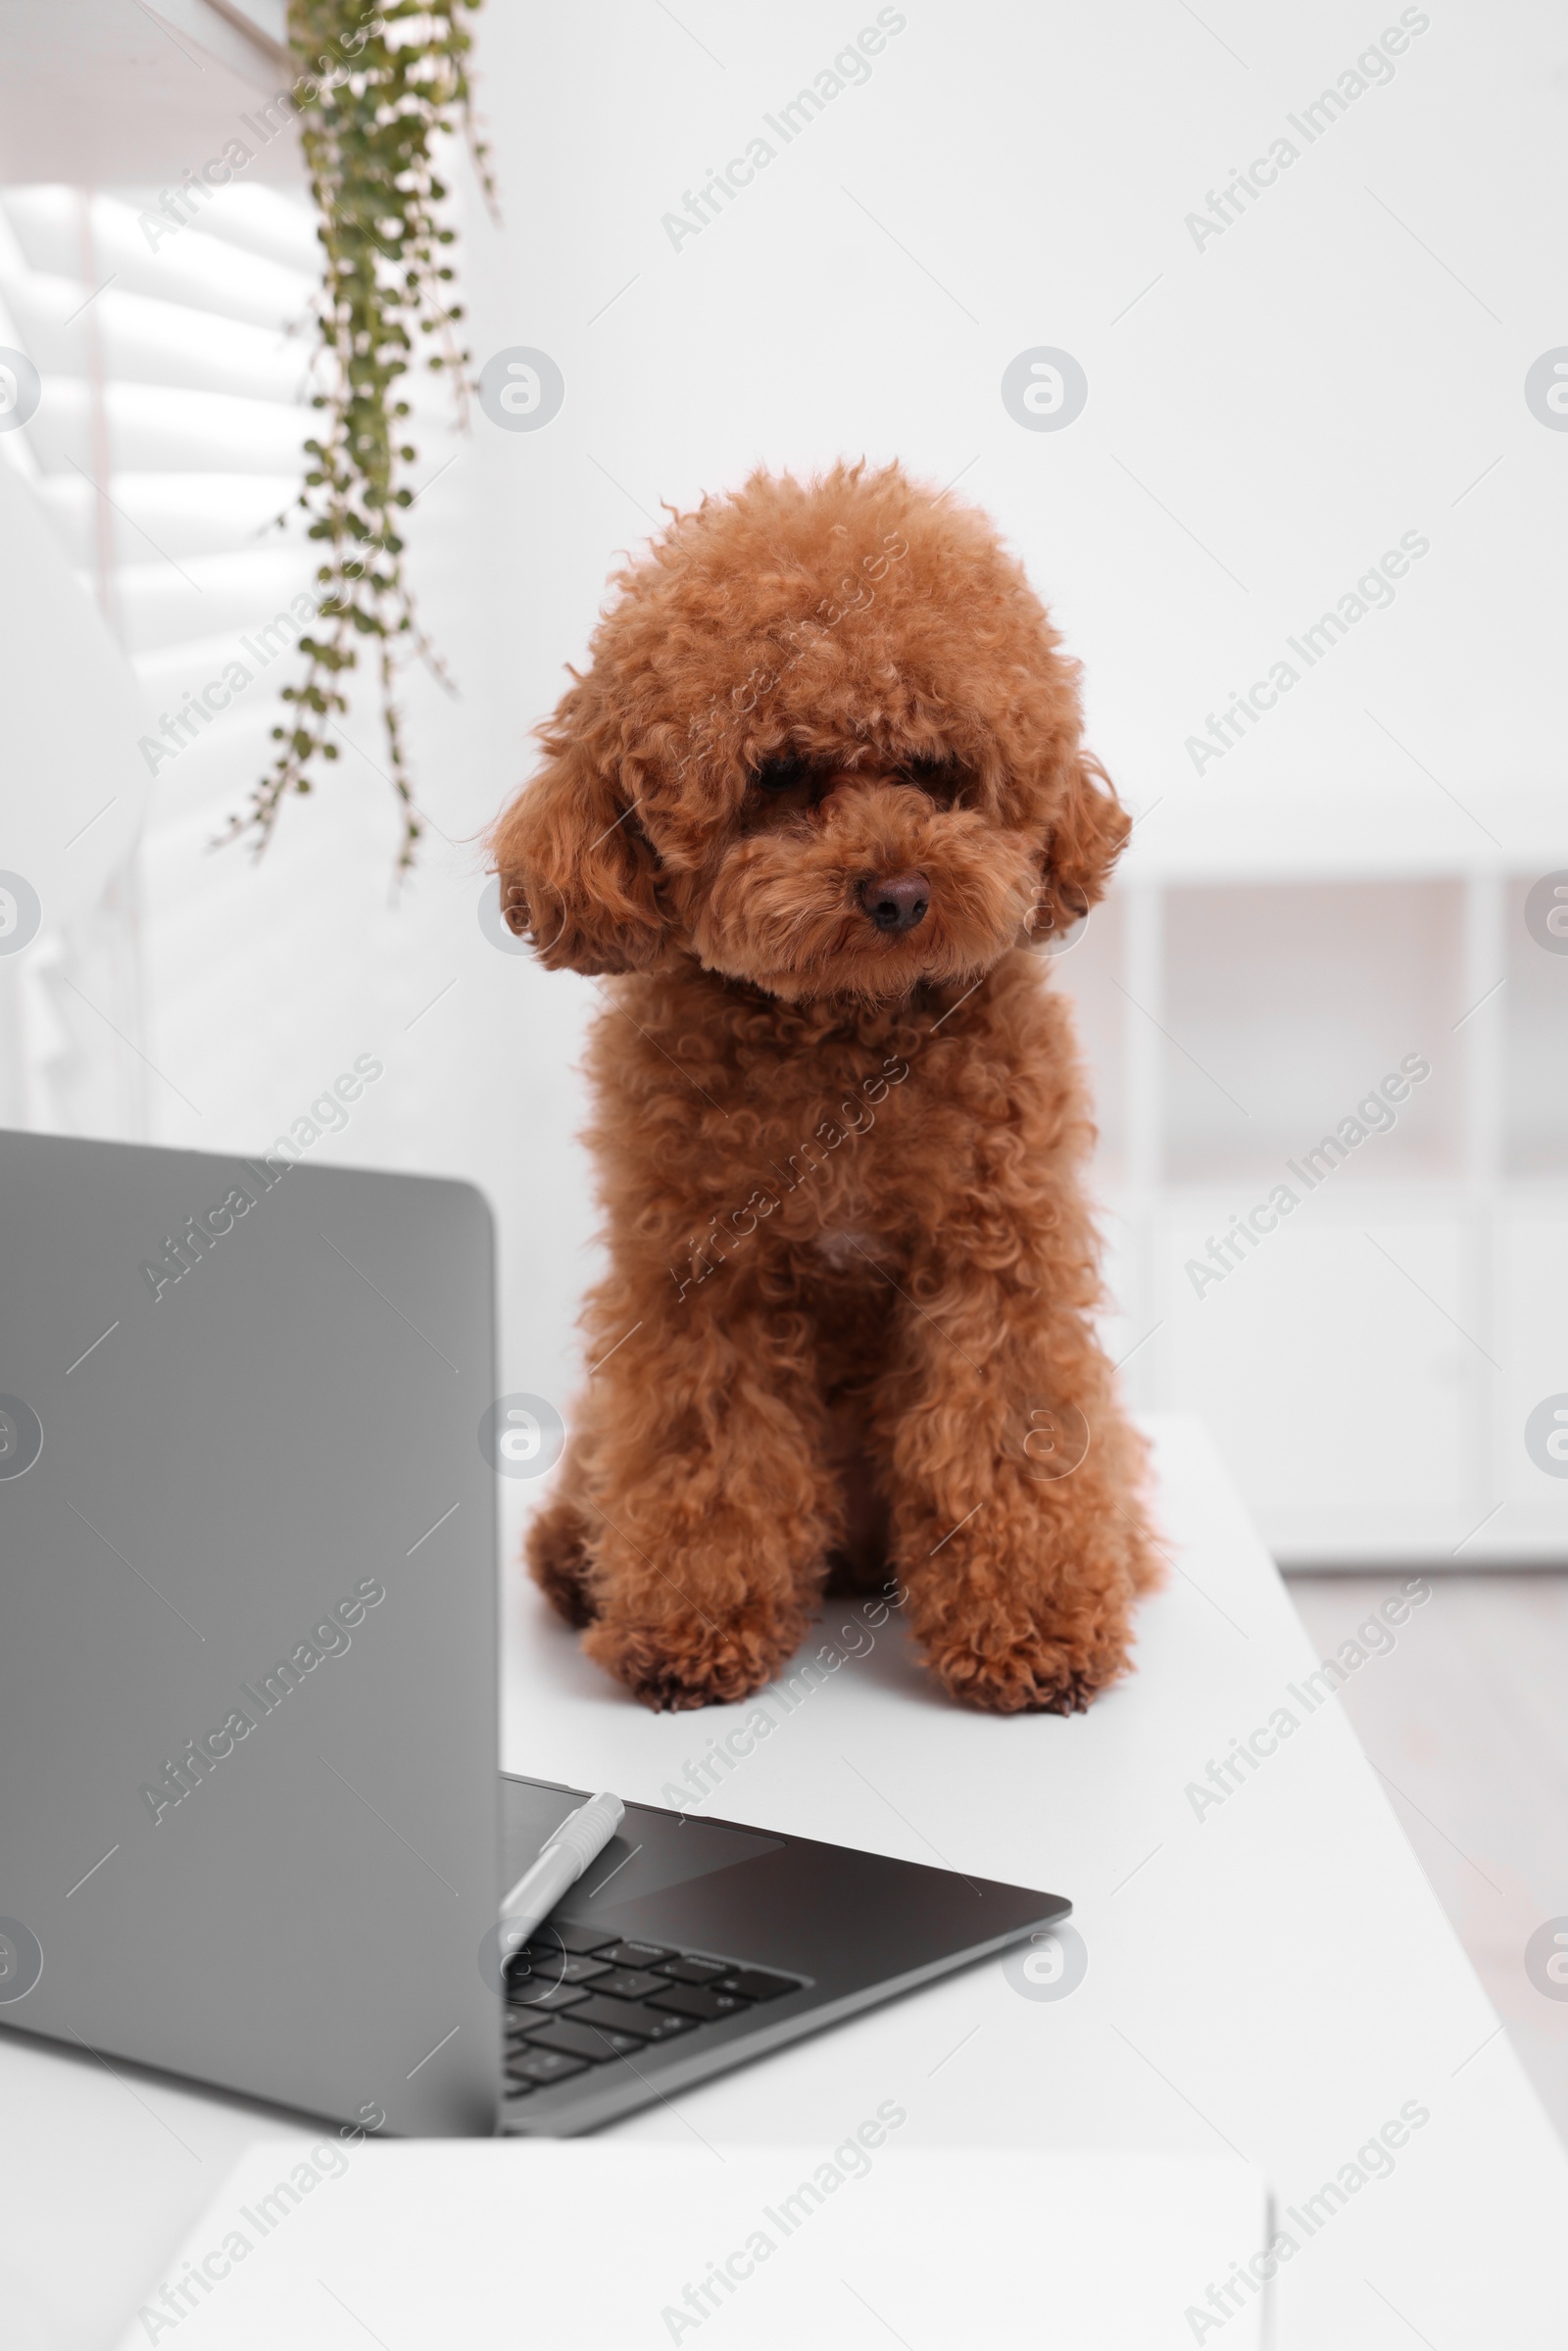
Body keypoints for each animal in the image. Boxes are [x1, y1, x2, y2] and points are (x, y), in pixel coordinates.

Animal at [493, 458, 1165, 1711]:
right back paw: (573, 1560)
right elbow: (705, 1454)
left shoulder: (997, 1260)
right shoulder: (700, 1277)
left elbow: (1006, 1432)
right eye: (782, 775)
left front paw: (1034, 1632)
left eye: (937, 773)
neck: (846, 1038)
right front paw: (691, 1631)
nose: (898, 891)